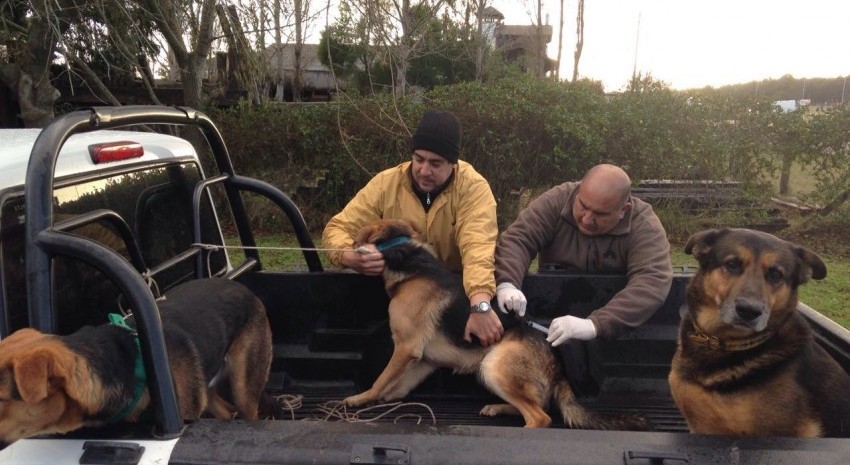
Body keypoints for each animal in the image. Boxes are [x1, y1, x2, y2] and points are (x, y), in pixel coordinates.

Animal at [0, 276, 272, 442]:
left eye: (1, 399)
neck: (127, 365)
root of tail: (244, 288)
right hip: (207, 385)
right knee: (224, 412)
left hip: (244, 388)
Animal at [342, 219, 644, 430]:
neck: (408, 259)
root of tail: (557, 364)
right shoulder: (422, 361)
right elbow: (394, 387)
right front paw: (380, 400)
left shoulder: (406, 348)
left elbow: (380, 380)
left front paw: (360, 399)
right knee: (535, 405)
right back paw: (497, 408)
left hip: (493, 366)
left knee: (540, 417)